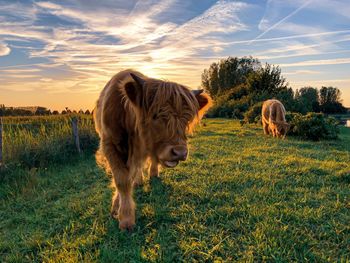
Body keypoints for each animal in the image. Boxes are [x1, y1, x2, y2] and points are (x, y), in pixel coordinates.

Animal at [93, 70, 212, 231]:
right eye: (155, 116)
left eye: (186, 118)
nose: (180, 152)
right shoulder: (109, 145)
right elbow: (121, 180)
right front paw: (123, 216)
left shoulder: (139, 150)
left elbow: (130, 174)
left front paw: (123, 213)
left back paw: (151, 175)